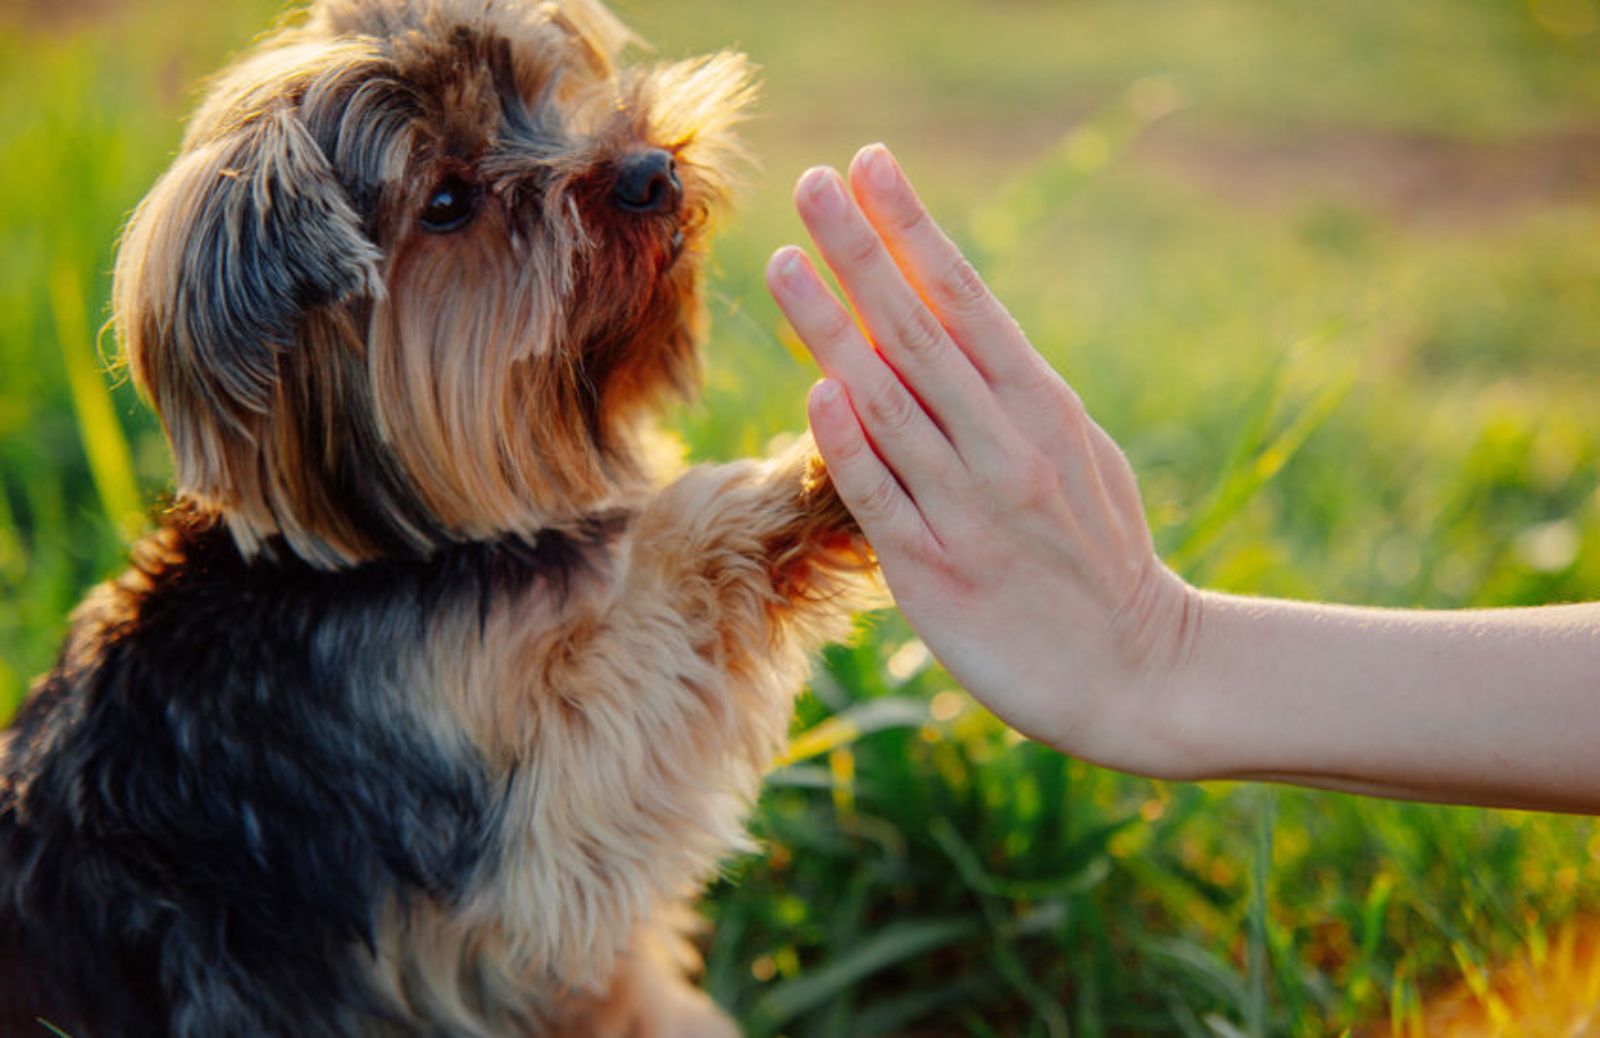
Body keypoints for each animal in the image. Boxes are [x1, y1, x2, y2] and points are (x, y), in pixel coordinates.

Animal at [3, 4, 876, 1030]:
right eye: (449, 201)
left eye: (539, 94)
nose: (649, 173)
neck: (405, 547)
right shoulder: (516, 839)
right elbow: (641, 647)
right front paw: (819, 474)